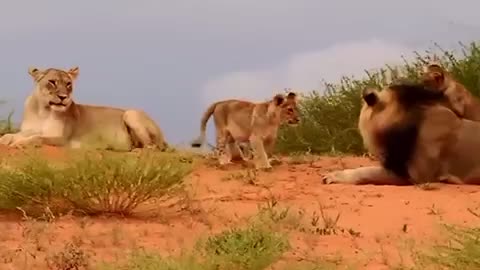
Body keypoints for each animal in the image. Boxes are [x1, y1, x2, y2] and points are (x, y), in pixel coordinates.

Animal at [0, 65, 168, 150]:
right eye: (52, 82)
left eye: (68, 84)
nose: (64, 97)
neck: (44, 110)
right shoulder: (28, 130)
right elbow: (12, 134)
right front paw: (6, 140)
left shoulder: (62, 139)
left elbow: (38, 138)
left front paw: (19, 143)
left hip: (131, 113)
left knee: (152, 147)